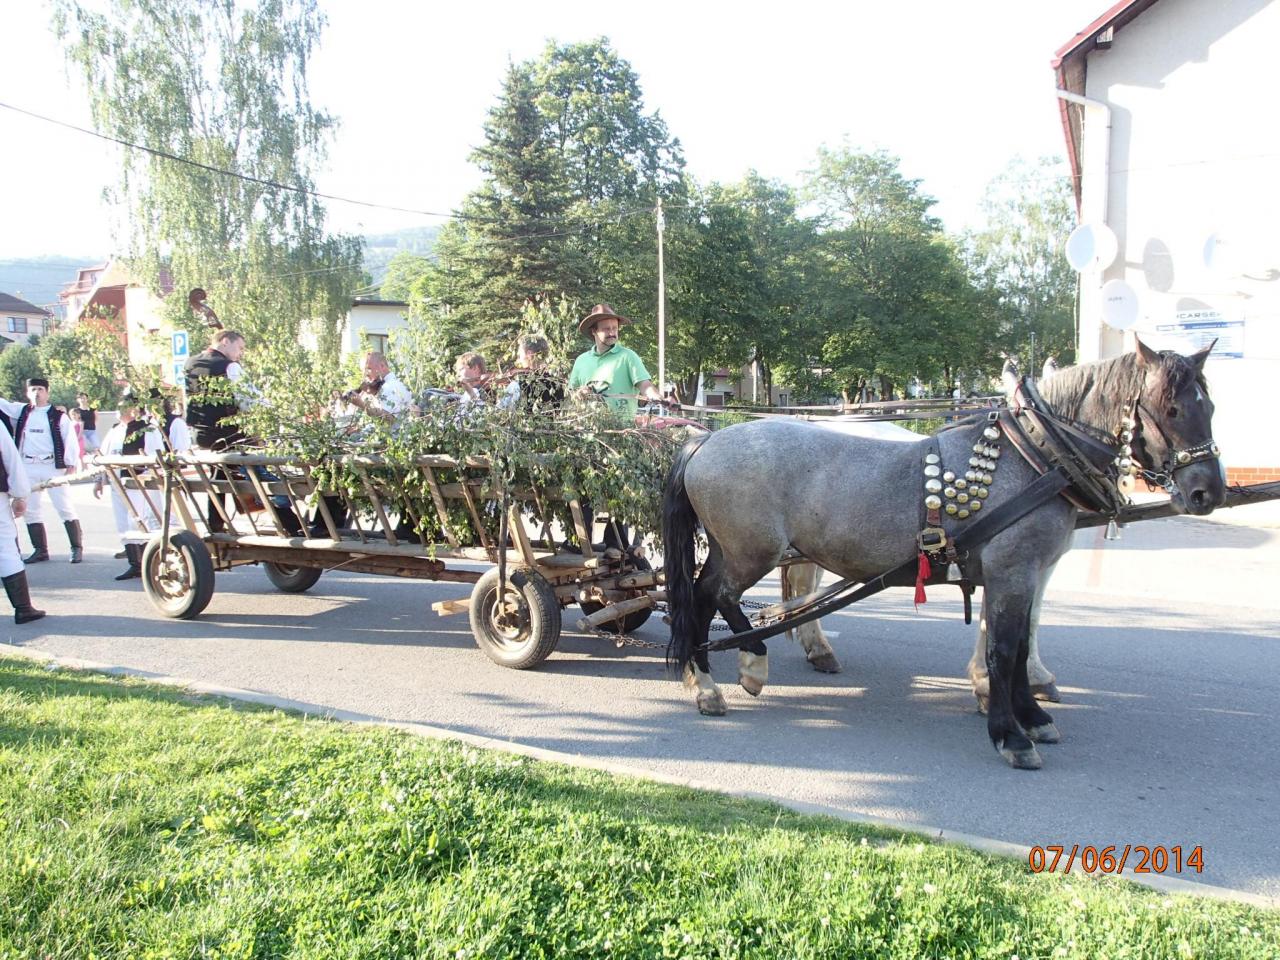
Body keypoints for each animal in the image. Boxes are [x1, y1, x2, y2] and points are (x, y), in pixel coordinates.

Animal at [663, 341, 1224, 769]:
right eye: (1172, 408)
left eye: (1211, 407)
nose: (1207, 491)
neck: (1034, 456)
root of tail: (705, 442)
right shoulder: (1013, 570)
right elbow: (1004, 649)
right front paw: (1010, 733)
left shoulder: (1025, 572)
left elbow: (1018, 643)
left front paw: (1032, 716)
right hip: (750, 551)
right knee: (716, 596)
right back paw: (742, 668)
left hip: (736, 549)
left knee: (702, 598)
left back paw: (710, 676)